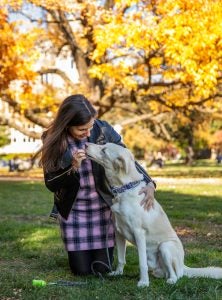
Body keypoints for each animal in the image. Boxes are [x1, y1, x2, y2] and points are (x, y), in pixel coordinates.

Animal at [86, 142, 222, 288]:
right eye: (102, 144)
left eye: (104, 150)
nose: (86, 144)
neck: (124, 189)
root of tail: (183, 265)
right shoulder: (118, 232)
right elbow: (122, 258)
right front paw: (118, 273)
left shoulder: (139, 233)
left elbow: (142, 263)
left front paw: (144, 283)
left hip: (165, 247)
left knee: (176, 275)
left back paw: (171, 280)